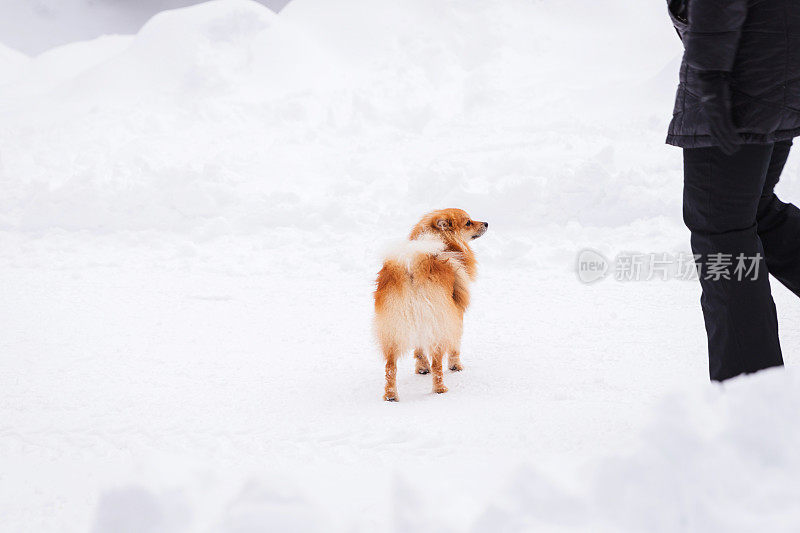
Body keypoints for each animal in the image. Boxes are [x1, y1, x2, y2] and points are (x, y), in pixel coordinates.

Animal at [376, 208, 488, 400]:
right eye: (468, 222)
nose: (486, 223)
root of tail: (411, 267)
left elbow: (419, 349)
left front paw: (422, 368)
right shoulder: (455, 315)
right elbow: (455, 346)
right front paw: (456, 366)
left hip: (394, 328)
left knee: (390, 367)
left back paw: (391, 395)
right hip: (437, 322)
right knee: (437, 364)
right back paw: (440, 389)